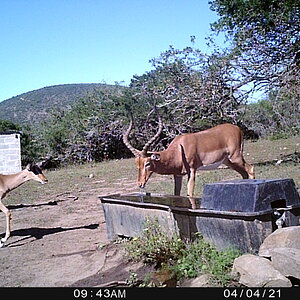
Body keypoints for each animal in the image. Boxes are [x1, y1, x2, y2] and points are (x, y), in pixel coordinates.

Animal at [123, 117, 254, 199]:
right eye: (137, 164)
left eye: (147, 163)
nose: (140, 184)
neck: (179, 149)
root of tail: (237, 128)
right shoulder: (178, 175)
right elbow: (177, 194)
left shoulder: (192, 171)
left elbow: (189, 194)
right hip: (228, 161)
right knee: (244, 173)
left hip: (236, 157)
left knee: (250, 169)